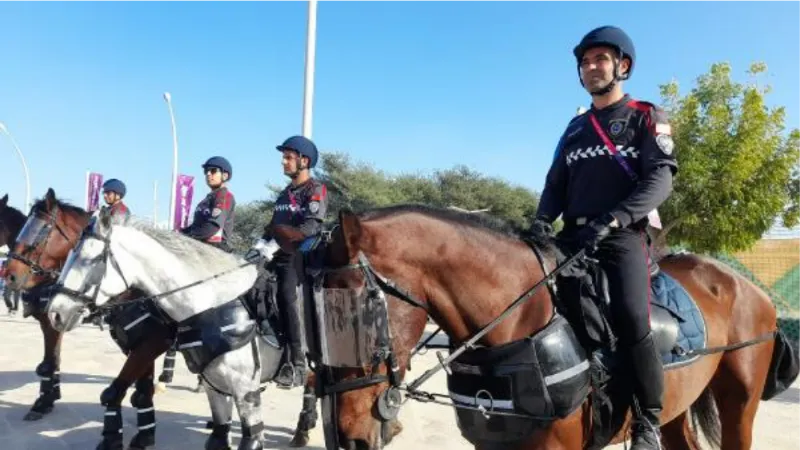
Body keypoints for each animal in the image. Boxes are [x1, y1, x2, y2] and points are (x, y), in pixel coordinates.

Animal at [45, 211, 286, 450]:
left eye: (90, 260)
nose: (54, 313)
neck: (213, 301)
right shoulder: (214, 386)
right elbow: (216, 435)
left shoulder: (245, 388)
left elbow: (252, 438)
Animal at [290, 205, 800, 450]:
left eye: (351, 315)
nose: (345, 438)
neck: (518, 322)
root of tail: (747, 287)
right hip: (679, 408)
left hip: (739, 405)